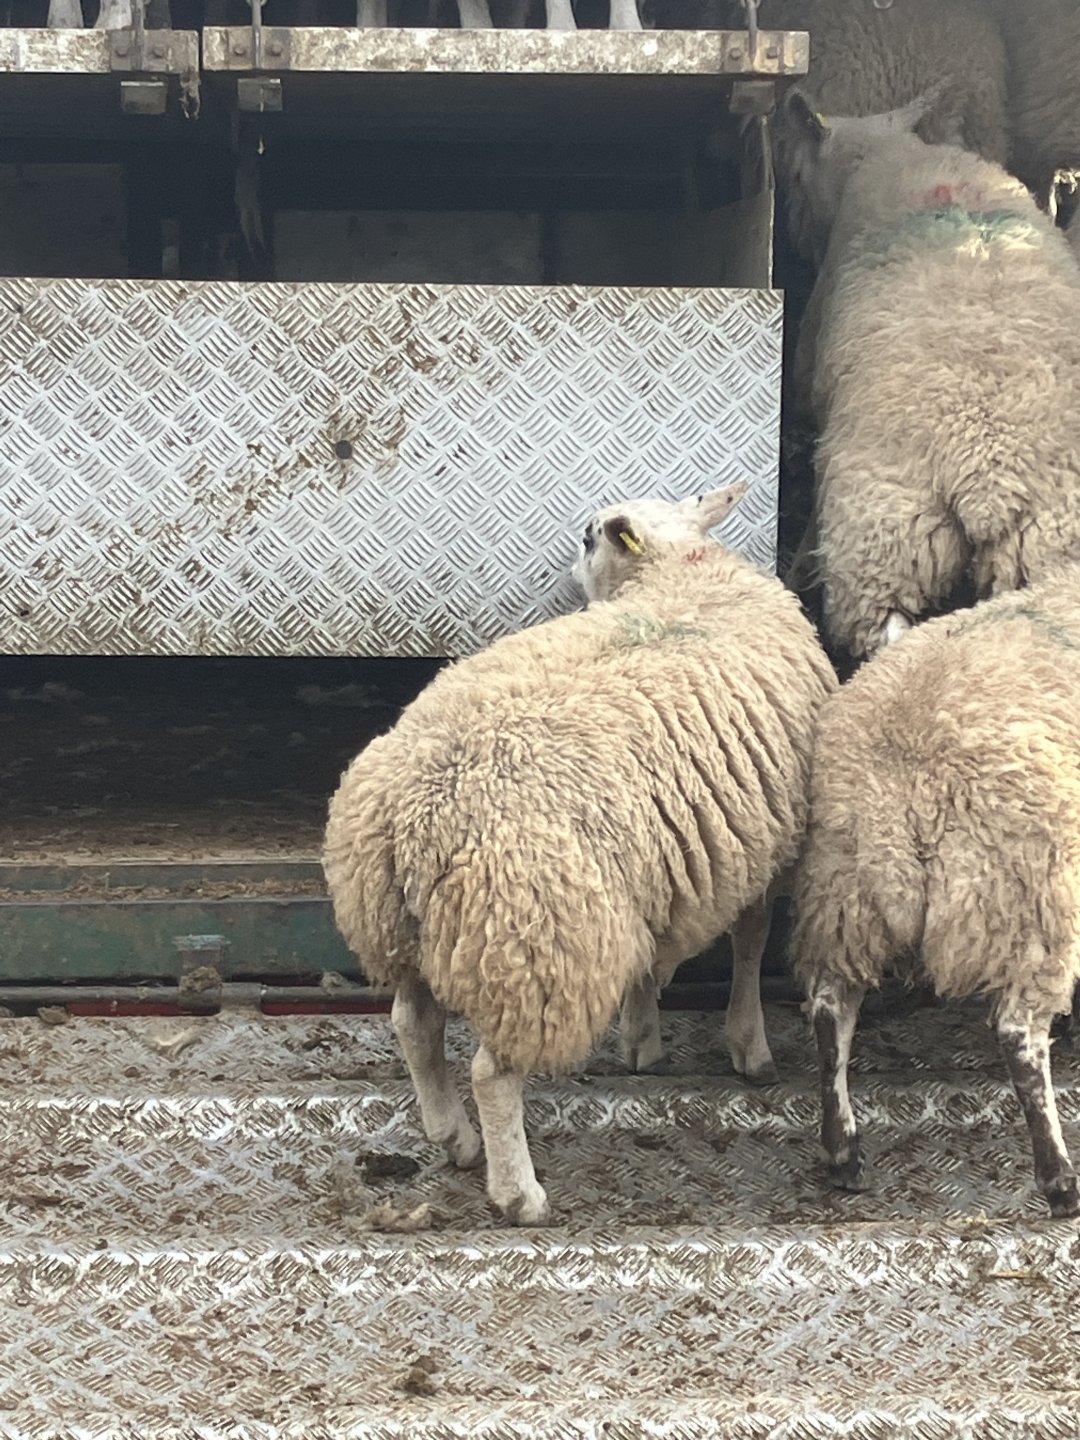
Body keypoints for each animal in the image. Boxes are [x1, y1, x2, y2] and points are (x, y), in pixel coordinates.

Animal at [323, 483, 837, 1224]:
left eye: (588, 539)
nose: (569, 567)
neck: (683, 573)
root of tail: (413, 817)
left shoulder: (661, 859)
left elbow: (661, 952)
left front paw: (642, 1037)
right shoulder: (761, 847)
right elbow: (750, 942)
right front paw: (750, 1046)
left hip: (406, 930)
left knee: (414, 1027)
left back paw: (455, 1139)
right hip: (533, 945)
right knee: (492, 1072)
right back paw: (519, 1193)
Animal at [781, 90, 1080, 663]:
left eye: (799, 174)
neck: (891, 152)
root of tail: (989, 477)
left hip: (882, 534)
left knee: (885, 630)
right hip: (1045, 548)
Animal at [791, 571, 1080, 1220]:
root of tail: (906, 785)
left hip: (845, 896)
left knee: (829, 1009)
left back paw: (844, 1152)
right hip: (1027, 901)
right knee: (1019, 1036)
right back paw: (1059, 1180)